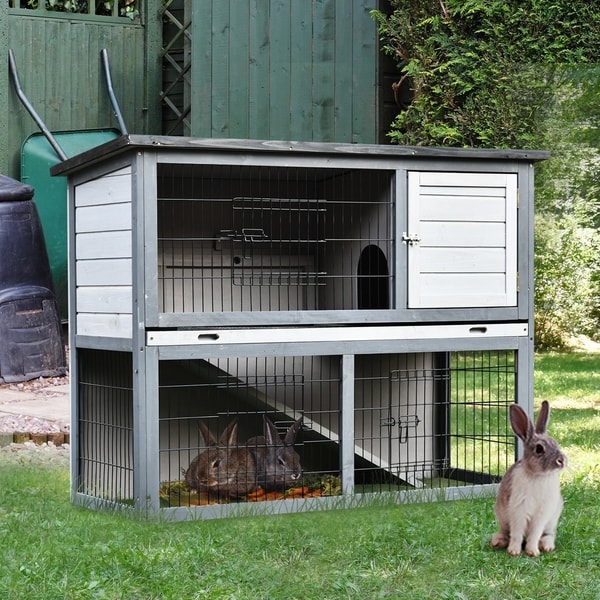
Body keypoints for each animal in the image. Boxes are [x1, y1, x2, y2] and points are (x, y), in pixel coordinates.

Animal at [490, 400, 564, 556]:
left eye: (556, 443)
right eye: (539, 449)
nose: (562, 460)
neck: (539, 476)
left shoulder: (541, 514)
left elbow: (534, 534)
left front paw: (532, 552)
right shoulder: (518, 510)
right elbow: (517, 533)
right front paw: (514, 551)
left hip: (552, 521)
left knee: (549, 535)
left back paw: (547, 546)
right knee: (507, 533)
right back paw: (497, 541)